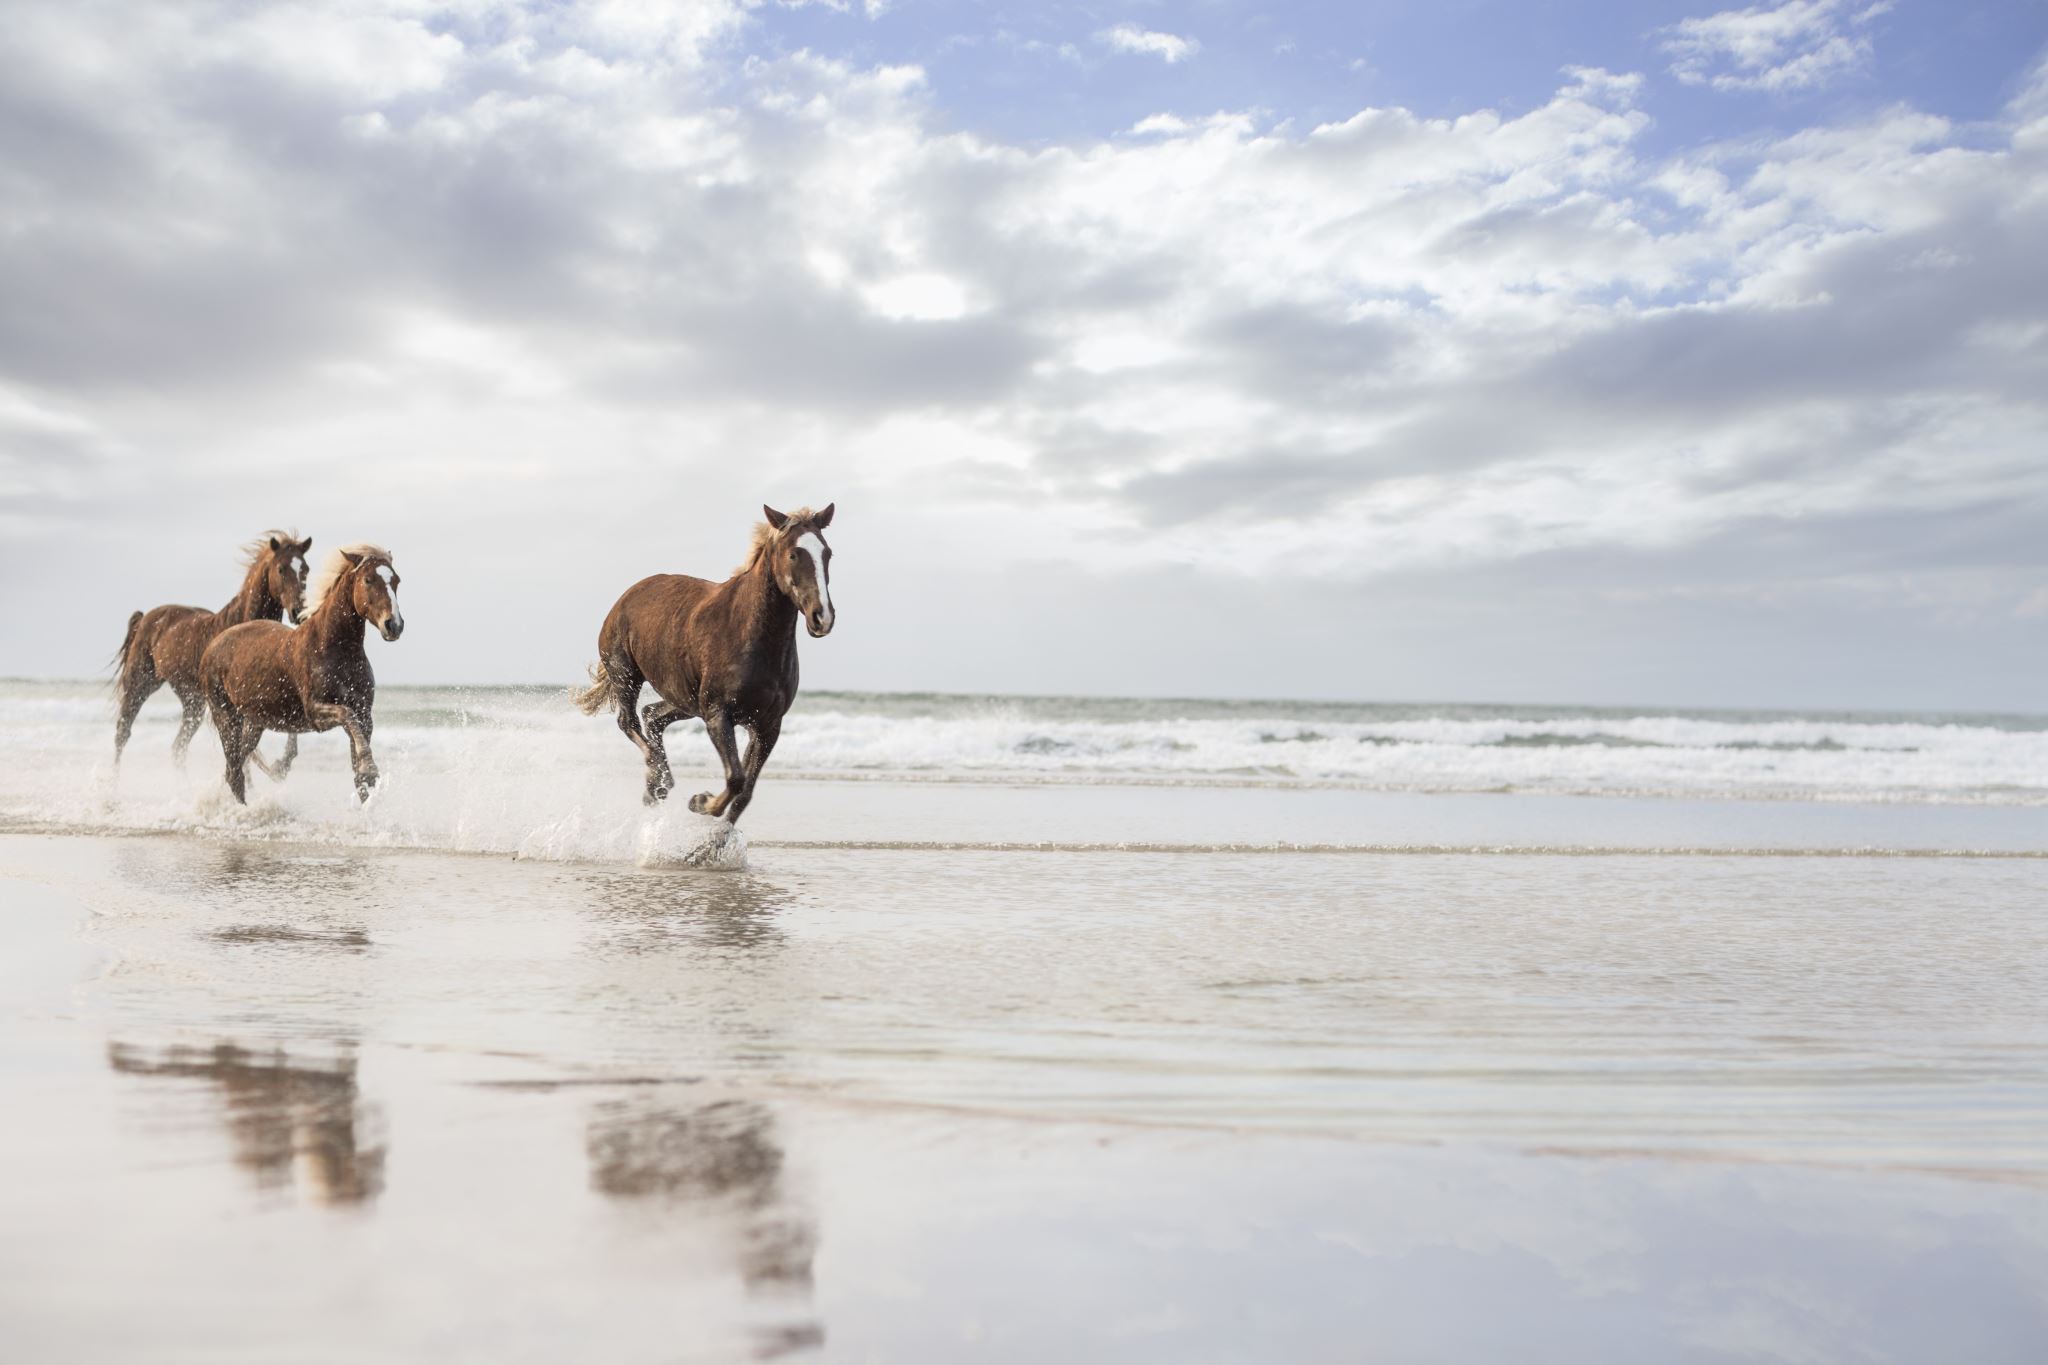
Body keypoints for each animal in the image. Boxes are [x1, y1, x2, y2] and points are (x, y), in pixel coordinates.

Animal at [113, 532, 311, 769]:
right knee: (123, 733)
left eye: (305, 569)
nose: (299, 612)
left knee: (178, 747)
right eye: (281, 568)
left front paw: (280, 765)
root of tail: (145, 618)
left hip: (192, 701)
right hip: (140, 683)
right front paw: (276, 767)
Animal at [201, 540, 405, 802]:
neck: (332, 647)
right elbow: (347, 716)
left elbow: (361, 775)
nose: (394, 625)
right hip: (227, 717)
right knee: (235, 772)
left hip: (254, 723)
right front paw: (370, 767)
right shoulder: (316, 712)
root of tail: (212, 645)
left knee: (234, 768)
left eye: (396, 580)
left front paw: (367, 783)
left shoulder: (364, 714)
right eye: (368, 580)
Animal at [573, 501, 835, 822]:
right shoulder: (718, 716)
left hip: (685, 699)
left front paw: (717, 832)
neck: (751, 635)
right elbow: (735, 779)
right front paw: (701, 802)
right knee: (629, 721)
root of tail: (625, 597)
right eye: (794, 554)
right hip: (627, 675)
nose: (822, 617)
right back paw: (658, 778)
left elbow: (745, 792)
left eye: (827, 553)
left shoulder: (767, 725)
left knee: (652, 715)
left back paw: (656, 786)